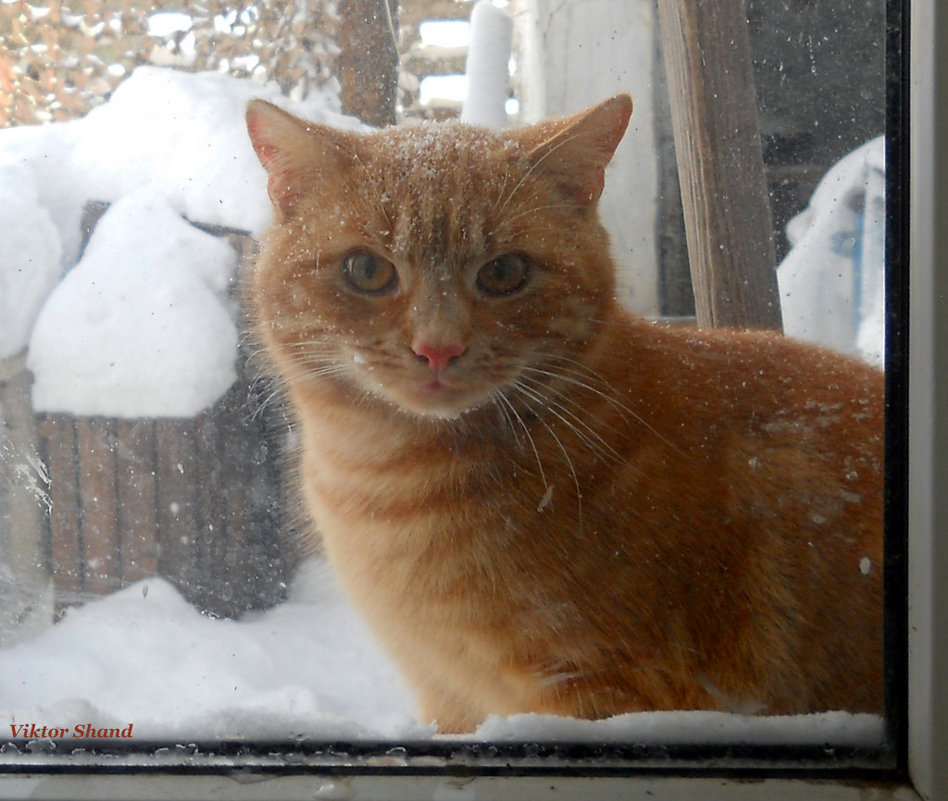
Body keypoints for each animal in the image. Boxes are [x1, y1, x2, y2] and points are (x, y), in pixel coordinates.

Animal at [244, 92, 880, 732]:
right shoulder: (446, 699)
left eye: (504, 272)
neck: (380, 483)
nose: (438, 347)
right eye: (367, 270)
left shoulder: (601, 690)